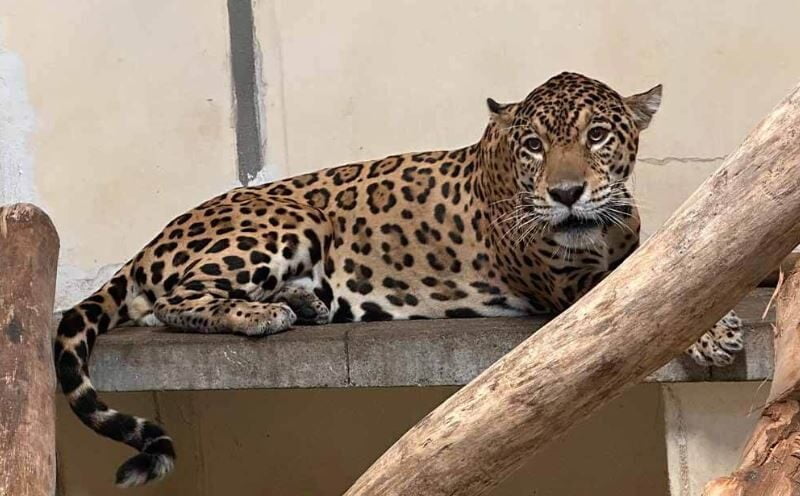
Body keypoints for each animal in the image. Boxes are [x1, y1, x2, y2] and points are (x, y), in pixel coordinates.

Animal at [54, 72, 743, 487]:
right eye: (533, 146)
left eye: (597, 136)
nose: (566, 192)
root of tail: (152, 241)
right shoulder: (568, 282)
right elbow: (652, 289)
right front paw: (714, 332)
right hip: (290, 217)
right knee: (168, 299)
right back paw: (265, 313)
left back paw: (306, 301)